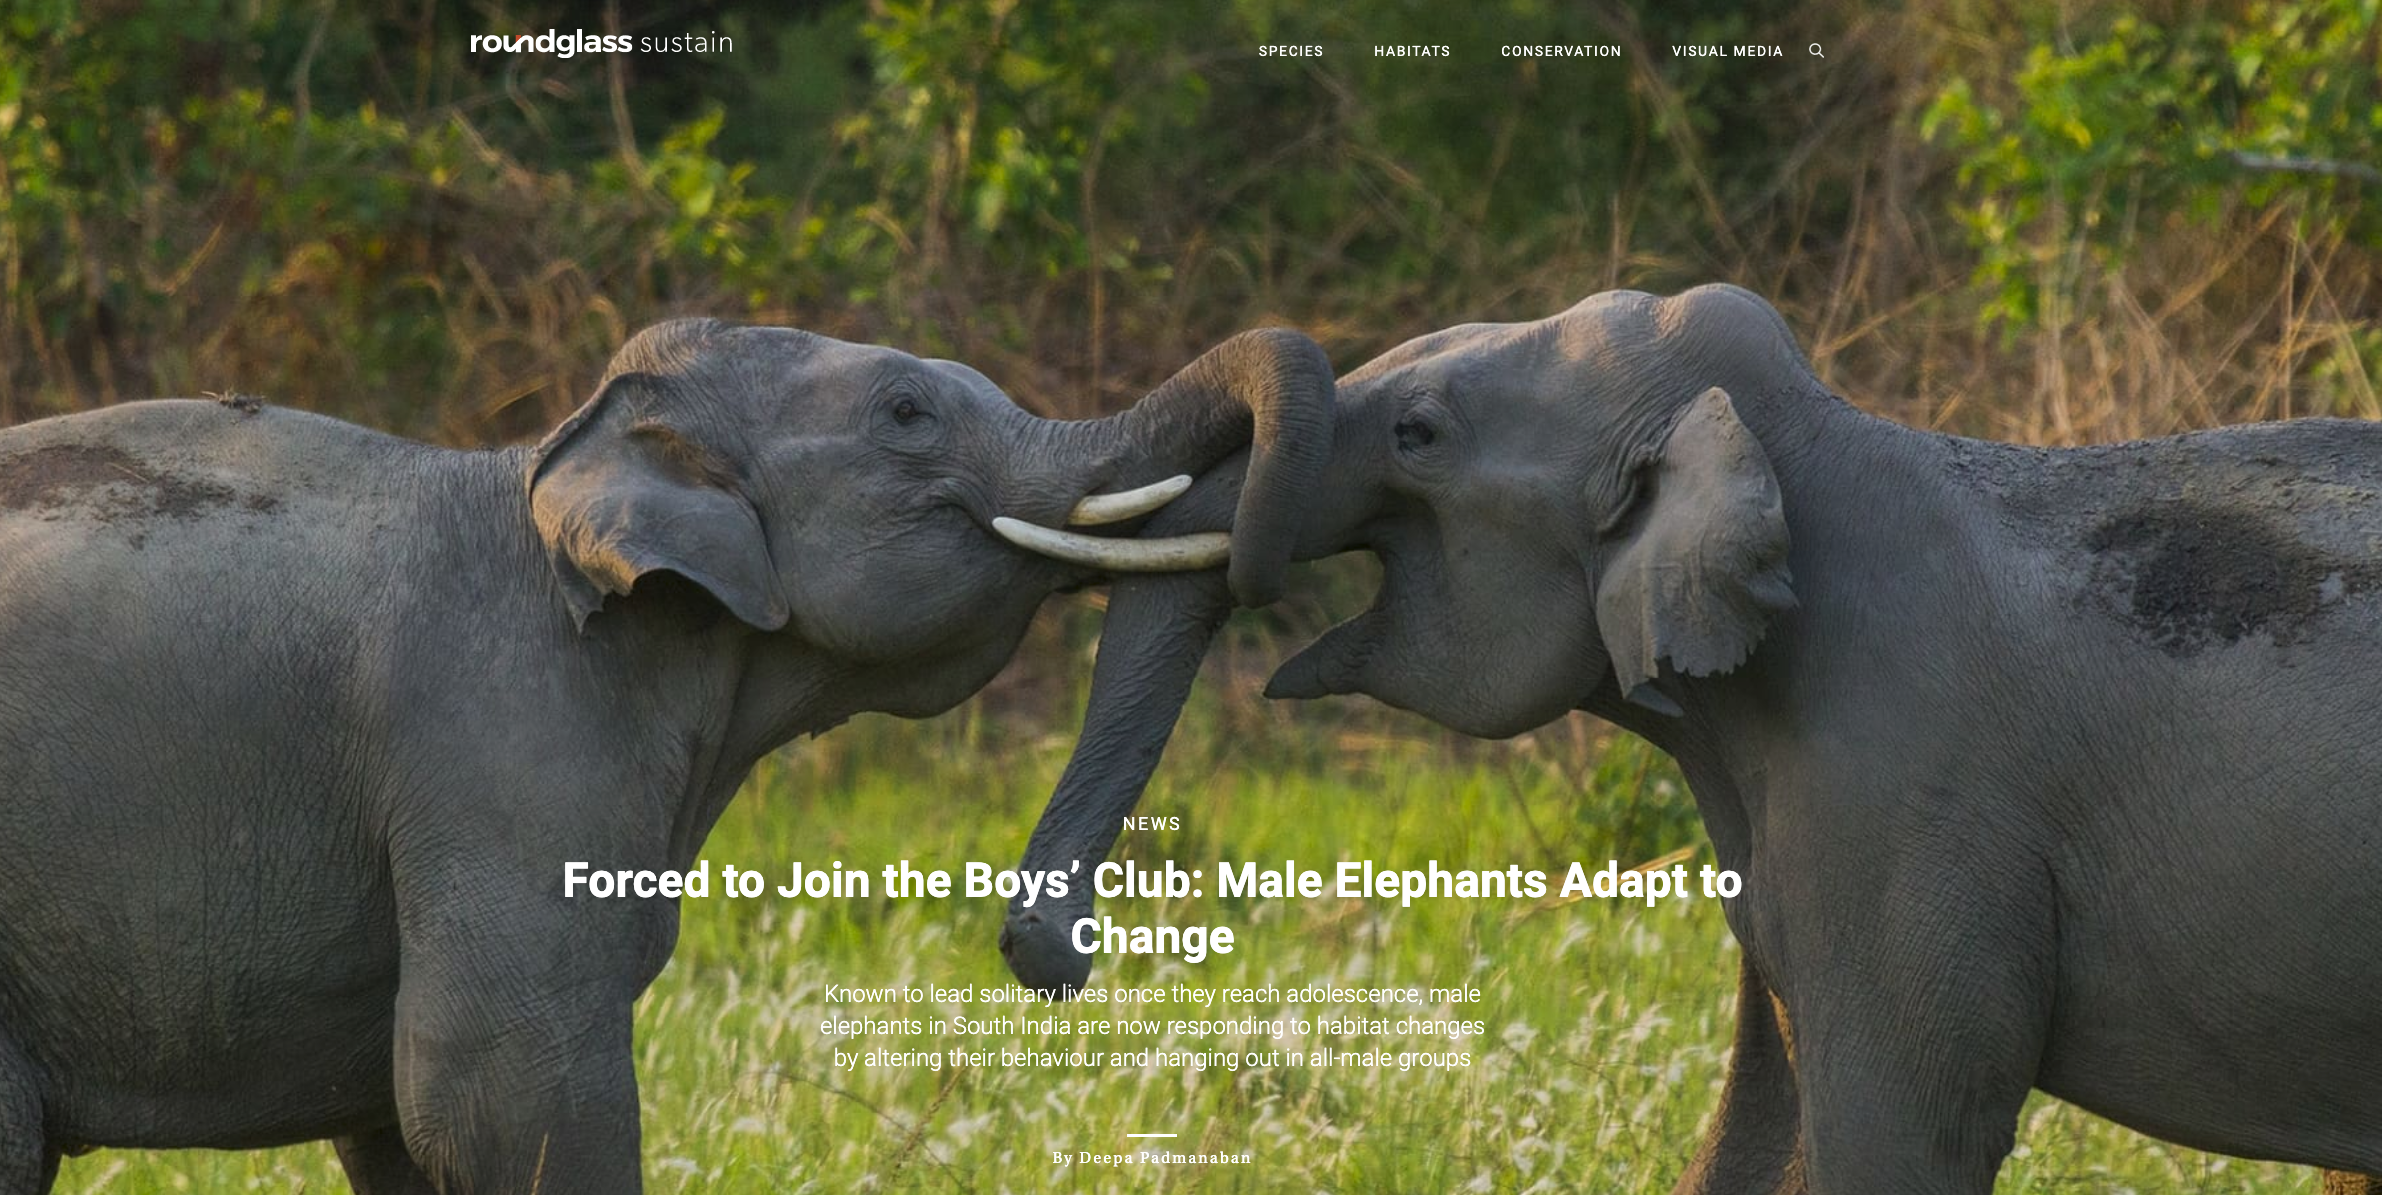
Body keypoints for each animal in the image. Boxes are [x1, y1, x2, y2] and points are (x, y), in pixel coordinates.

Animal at [0, 316, 1331, 1193]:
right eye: (907, 413)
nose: (1051, 954)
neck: (553, 466)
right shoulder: (506, 737)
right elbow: (495, 1094)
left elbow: (398, 1118)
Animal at [1000, 285, 2382, 1192]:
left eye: (1418, 433)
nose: (1061, 956)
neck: (1795, 443)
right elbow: (1764, 1125)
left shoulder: (1909, 806)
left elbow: (1901, 1133)